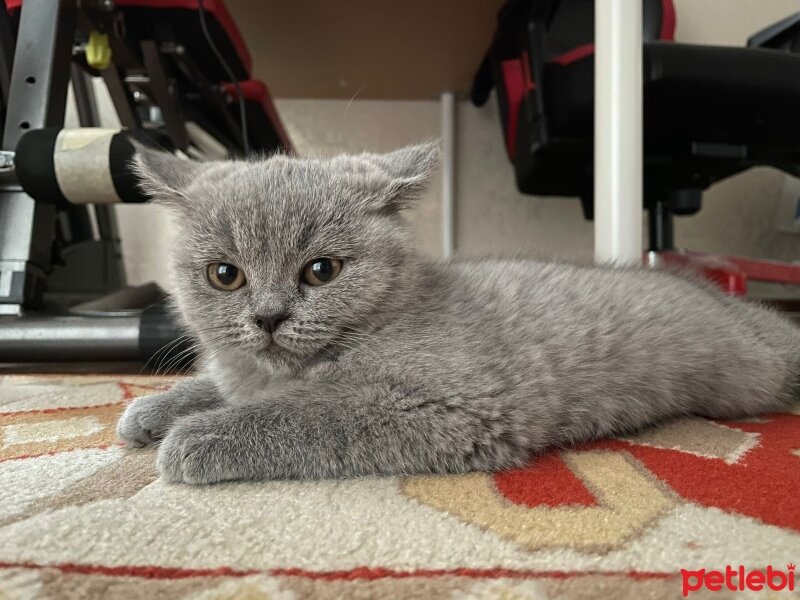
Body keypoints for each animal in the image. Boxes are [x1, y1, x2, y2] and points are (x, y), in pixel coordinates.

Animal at [117, 143, 800, 486]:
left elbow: (305, 414)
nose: (268, 317)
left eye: (321, 270)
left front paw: (196, 437)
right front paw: (151, 410)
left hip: (757, 367)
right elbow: (218, 386)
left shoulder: (451, 405)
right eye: (224, 275)